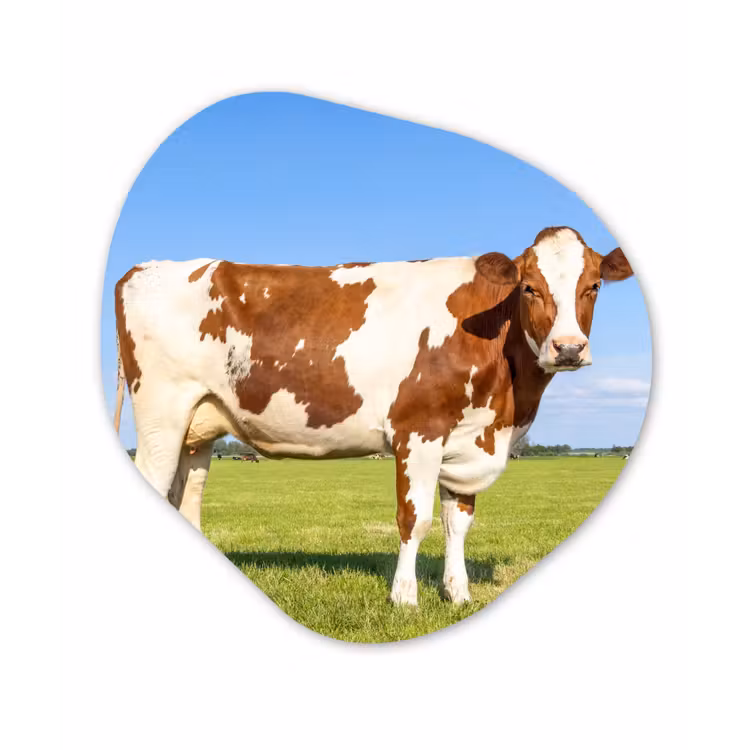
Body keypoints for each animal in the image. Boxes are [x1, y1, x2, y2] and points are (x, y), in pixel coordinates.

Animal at [114, 226, 633, 606]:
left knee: (186, 498)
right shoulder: (419, 431)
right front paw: (405, 599)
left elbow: (457, 522)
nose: (569, 348)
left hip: (198, 428)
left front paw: (458, 595)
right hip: (161, 414)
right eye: (529, 287)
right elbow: (415, 519)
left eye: (593, 286)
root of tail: (146, 267)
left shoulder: (469, 438)